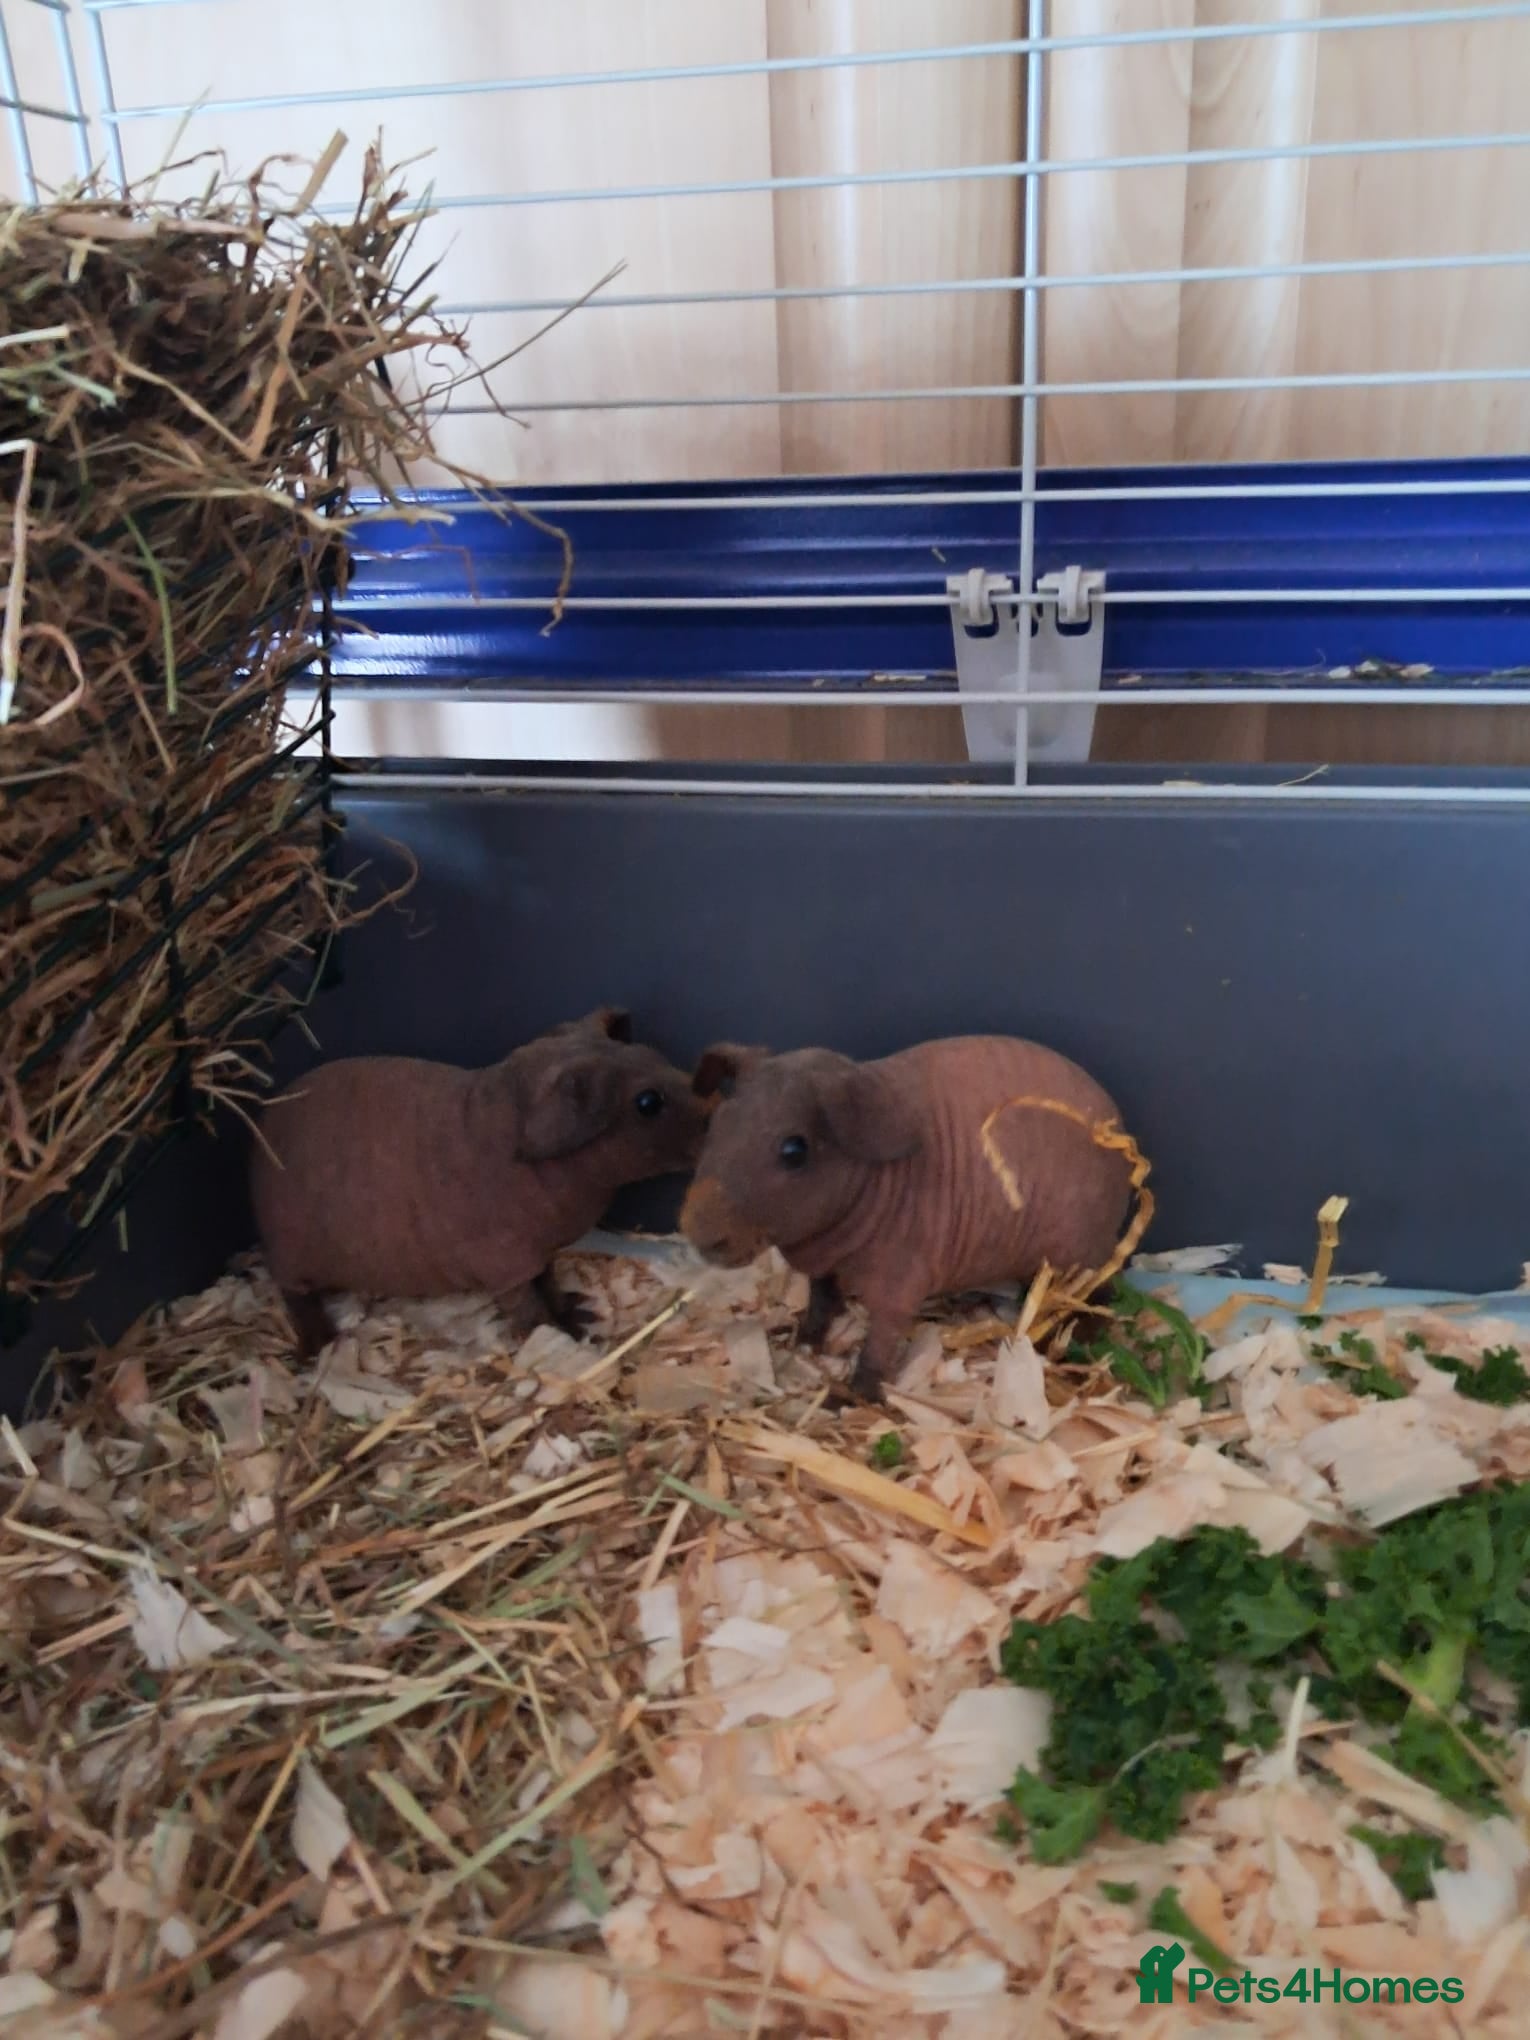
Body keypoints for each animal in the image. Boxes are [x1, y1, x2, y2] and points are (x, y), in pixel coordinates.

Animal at [250, 1007, 707, 1359]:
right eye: (647, 1102)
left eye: (652, 1054)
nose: (715, 1112)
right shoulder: (507, 1267)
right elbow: (529, 1309)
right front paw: (565, 1337)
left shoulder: (539, 1256)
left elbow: (549, 1285)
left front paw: (580, 1312)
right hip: (293, 1259)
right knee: (293, 1293)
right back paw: (318, 1344)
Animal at [681, 1035, 1133, 1401]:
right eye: (714, 1122)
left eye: (794, 1150)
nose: (697, 1231)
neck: (874, 1187)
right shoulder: (826, 1268)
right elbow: (821, 1300)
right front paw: (802, 1340)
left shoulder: (899, 1286)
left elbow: (878, 1346)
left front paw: (850, 1398)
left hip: (1084, 1261)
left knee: (1101, 1298)